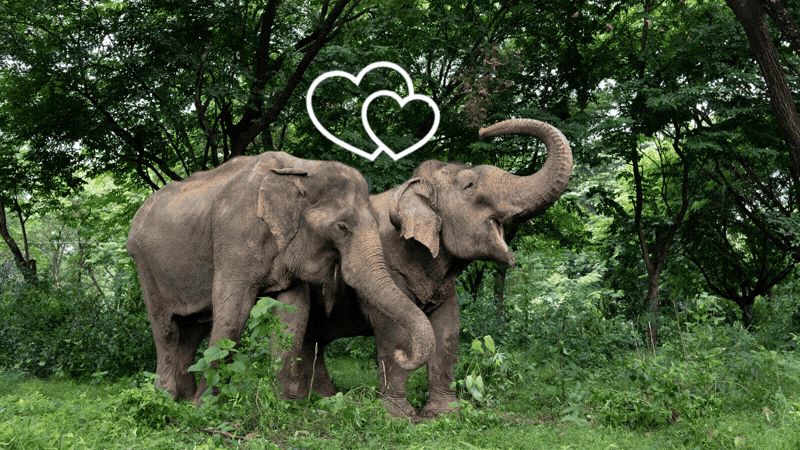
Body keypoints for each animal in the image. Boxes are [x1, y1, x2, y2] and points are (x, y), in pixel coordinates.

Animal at [126, 151, 435, 403]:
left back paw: (183, 397)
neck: (302, 168)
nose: (402, 354)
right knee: (167, 330)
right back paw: (167, 399)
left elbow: (293, 311)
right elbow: (233, 310)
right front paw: (204, 407)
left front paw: (284, 404)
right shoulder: (235, 235)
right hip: (145, 266)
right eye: (341, 227)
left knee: (192, 330)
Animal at [285, 118, 573, 417]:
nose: (483, 131)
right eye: (470, 185)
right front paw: (398, 416)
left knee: (311, 339)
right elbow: (394, 331)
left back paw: (321, 397)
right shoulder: (386, 264)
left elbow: (448, 328)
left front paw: (444, 413)